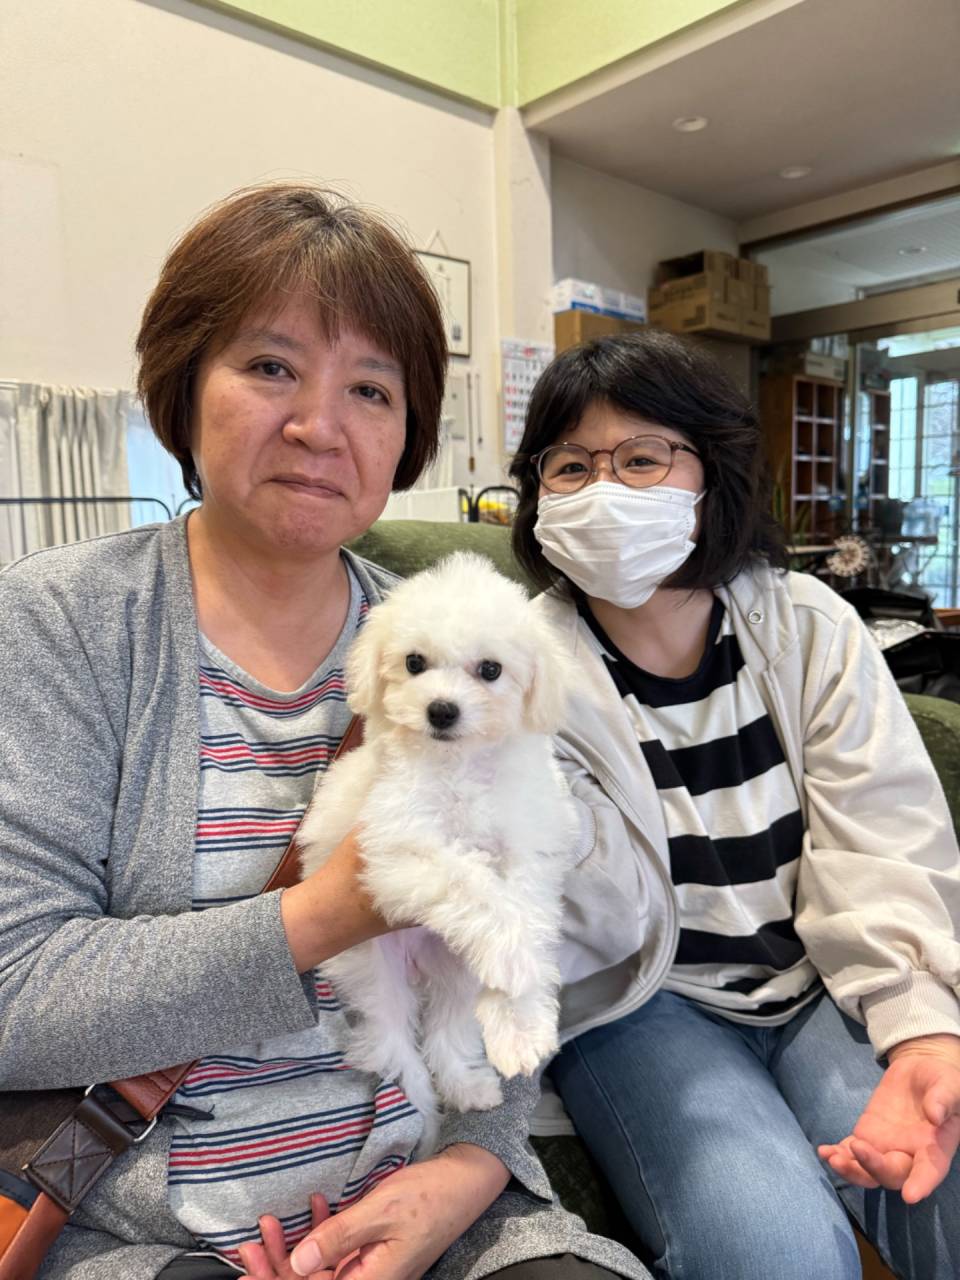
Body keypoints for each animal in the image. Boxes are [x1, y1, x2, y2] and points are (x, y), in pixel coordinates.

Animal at [297, 552, 578, 1150]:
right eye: (414, 662)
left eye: (491, 670)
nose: (441, 710)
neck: (461, 764)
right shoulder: (398, 846)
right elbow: (472, 887)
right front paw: (512, 961)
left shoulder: (529, 849)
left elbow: (525, 918)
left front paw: (521, 1027)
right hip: (373, 970)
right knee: (396, 1044)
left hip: (454, 971)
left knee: (449, 1029)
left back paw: (467, 1086)